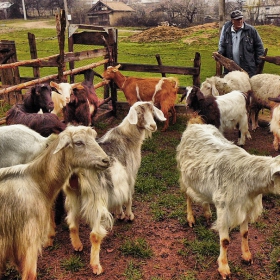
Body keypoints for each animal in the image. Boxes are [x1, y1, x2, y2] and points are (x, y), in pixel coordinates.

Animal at [0, 125, 110, 280]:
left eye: (94, 138)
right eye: (78, 142)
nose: (106, 160)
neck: (37, 182)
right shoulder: (29, 240)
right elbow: (30, 275)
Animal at [63, 101, 166, 276]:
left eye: (152, 111)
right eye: (139, 113)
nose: (153, 125)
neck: (127, 139)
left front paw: (119, 213)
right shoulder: (130, 176)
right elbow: (129, 197)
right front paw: (129, 216)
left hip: (74, 195)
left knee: (72, 222)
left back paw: (77, 246)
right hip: (97, 198)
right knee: (94, 235)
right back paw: (96, 266)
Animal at [177, 123, 280, 278]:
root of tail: (195, 125)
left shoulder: (245, 206)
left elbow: (245, 233)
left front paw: (247, 256)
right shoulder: (224, 208)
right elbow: (225, 241)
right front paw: (224, 268)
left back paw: (207, 213)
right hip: (186, 177)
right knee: (188, 196)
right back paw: (190, 218)